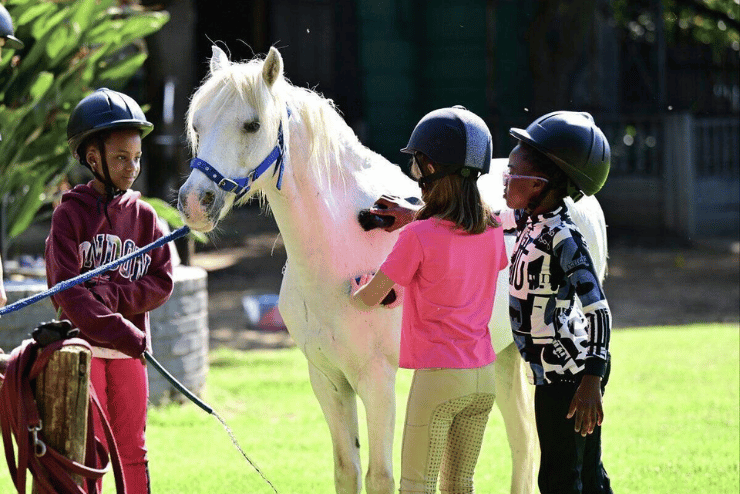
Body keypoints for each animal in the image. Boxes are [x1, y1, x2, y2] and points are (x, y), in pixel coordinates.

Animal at [177, 45, 608, 494]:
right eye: (197, 124)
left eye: (252, 124)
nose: (194, 202)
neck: (344, 242)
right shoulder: (327, 379)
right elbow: (346, 470)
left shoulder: (376, 380)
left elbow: (380, 476)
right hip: (504, 355)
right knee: (523, 444)